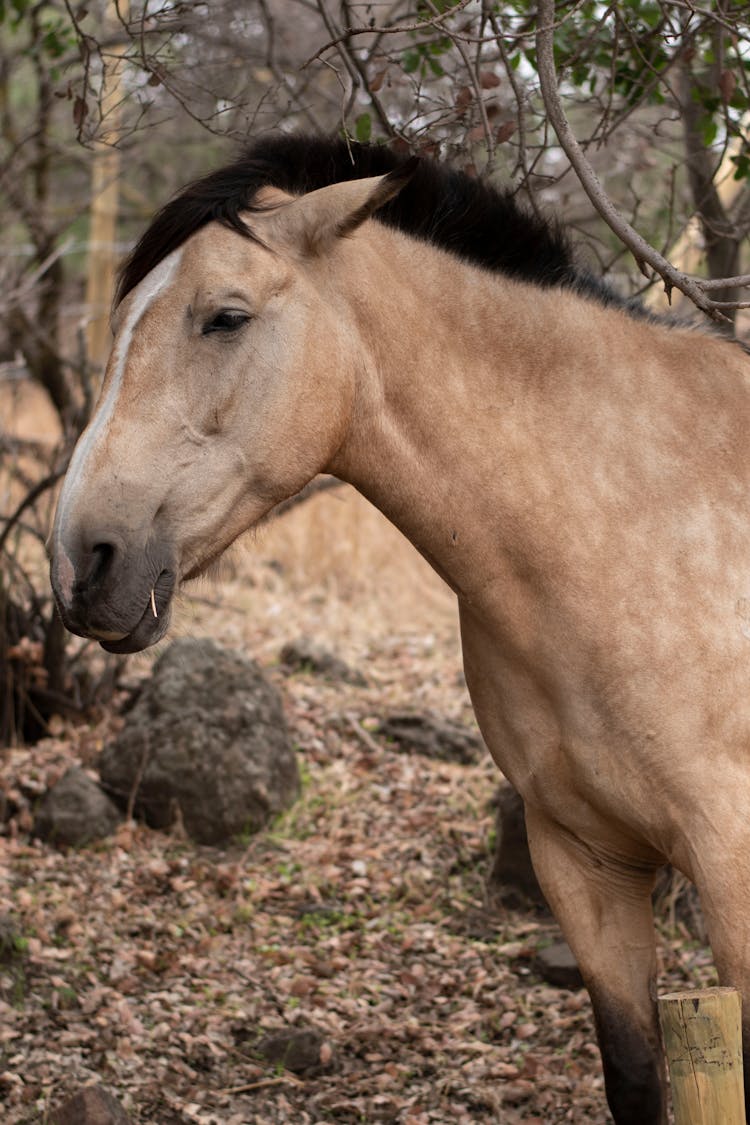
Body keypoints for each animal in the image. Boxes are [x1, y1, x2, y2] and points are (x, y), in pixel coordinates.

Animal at [49, 133, 750, 1125]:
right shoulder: (584, 861)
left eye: (224, 317)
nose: (82, 560)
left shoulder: (731, 866)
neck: (635, 520)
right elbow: (636, 1077)